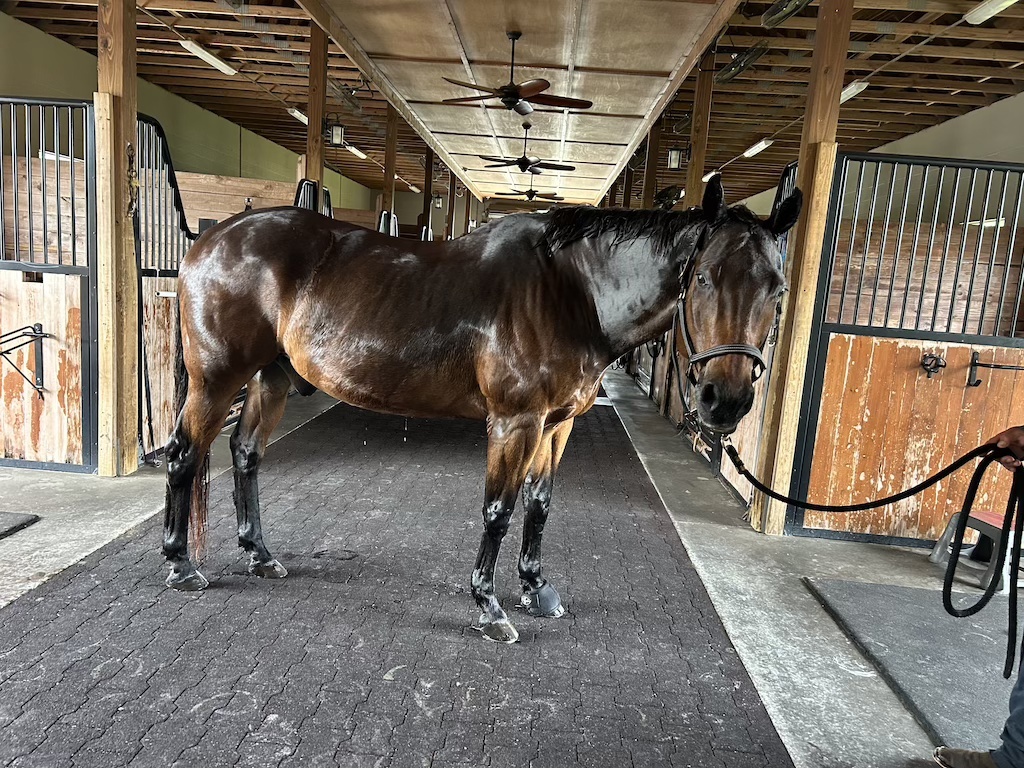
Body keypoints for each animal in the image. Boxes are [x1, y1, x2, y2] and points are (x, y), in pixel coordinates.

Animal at [162, 175, 802, 643]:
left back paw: (259, 556)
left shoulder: (557, 425)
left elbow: (540, 504)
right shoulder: (516, 422)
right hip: (217, 380)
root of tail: (205, 245)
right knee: (184, 457)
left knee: (245, 454)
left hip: (269, 377)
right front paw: (490, 607)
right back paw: (180, 567)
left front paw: (537, 588)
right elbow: (500, 508)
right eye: (704, 278)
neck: (570, 292)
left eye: (778, 288)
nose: (725, 401)